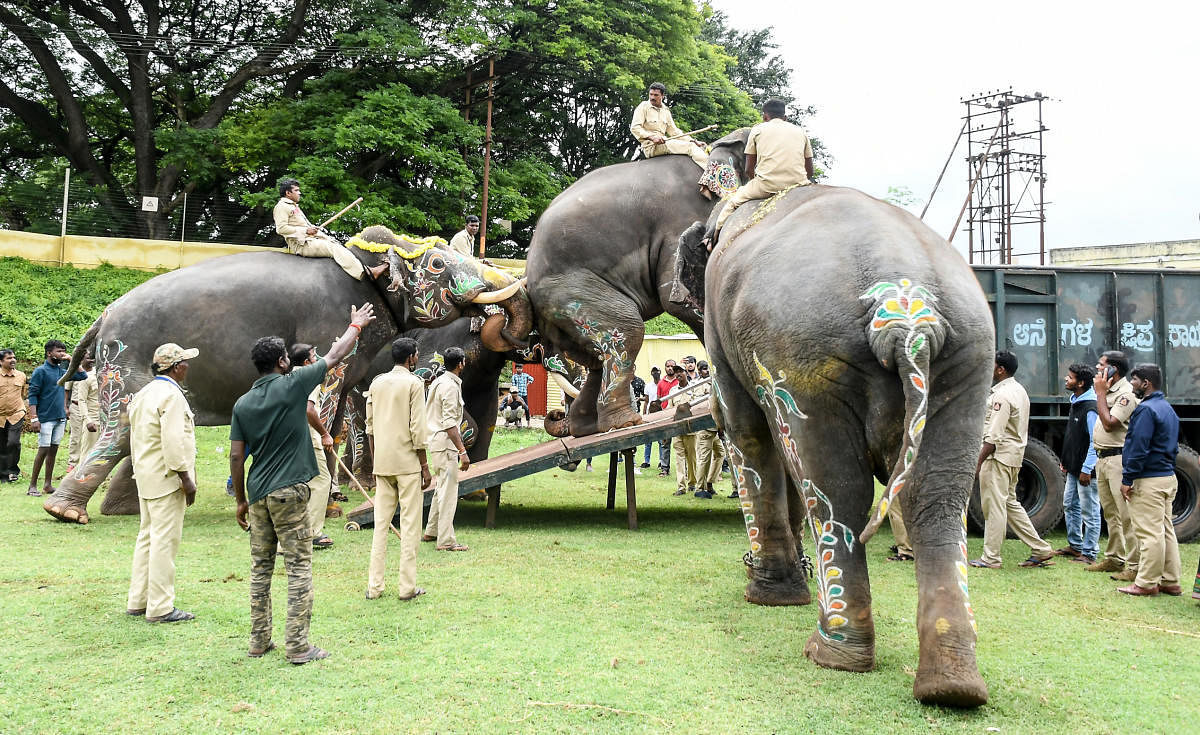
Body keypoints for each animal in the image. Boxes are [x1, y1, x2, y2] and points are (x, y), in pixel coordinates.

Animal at [42, 226, 530, 526]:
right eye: (435, 265)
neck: (362, 261)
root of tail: (101, 319)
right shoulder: (328, 323)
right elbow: (324, 400)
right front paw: (330, 508)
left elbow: (337, 411)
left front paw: (332, 500)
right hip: (123, 364)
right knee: (121, 427)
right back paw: (67, 513)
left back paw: (127, 509)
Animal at [528, 129, 744, 437]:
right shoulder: (679, 223)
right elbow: (679, 303)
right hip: (569, 293)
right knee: (627, 331)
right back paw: (624, 424)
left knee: (596, 357)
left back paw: (587, 426)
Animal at [681, 183, 998, 706]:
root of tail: (906, 316)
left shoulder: (725, 335)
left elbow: (748, 433)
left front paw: (767, 596)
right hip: (969, 360)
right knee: (936, 498)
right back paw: (953, 688)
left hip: (803, 359)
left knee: (837, 491)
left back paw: (830, 654)